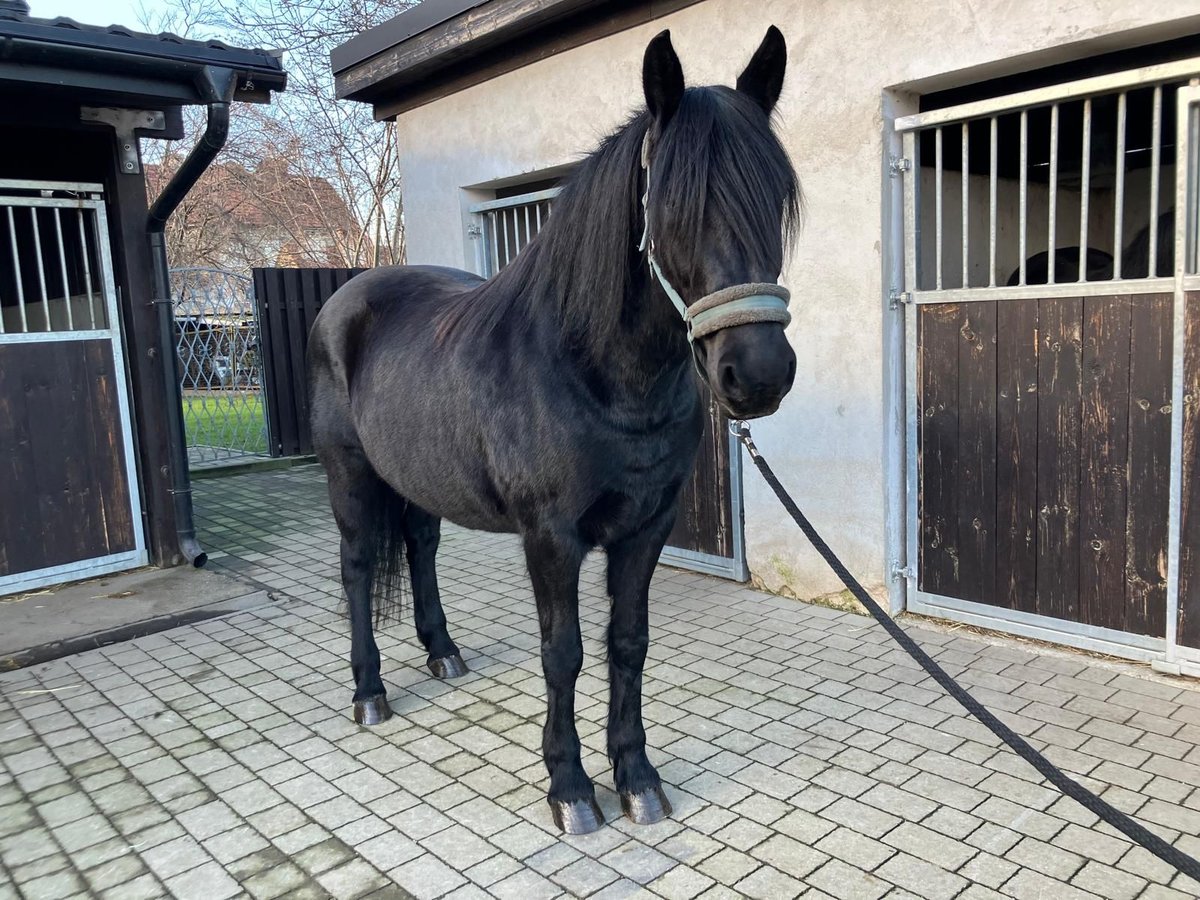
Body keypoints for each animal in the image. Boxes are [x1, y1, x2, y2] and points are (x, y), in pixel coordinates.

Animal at [307, 28, 796, 835]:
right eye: (672, 207)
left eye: (779, 200)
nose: (758, 375)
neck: (590, 373)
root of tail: (347, 297)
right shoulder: (551, 537)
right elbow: (561, 653)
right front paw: (570, 789)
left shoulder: (646, 529)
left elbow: (628, 643)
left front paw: (637, 780)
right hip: (350, 479)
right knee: (353, 568)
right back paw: (369, 694)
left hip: (418, 480)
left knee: (420, 548)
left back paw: (443, 653)